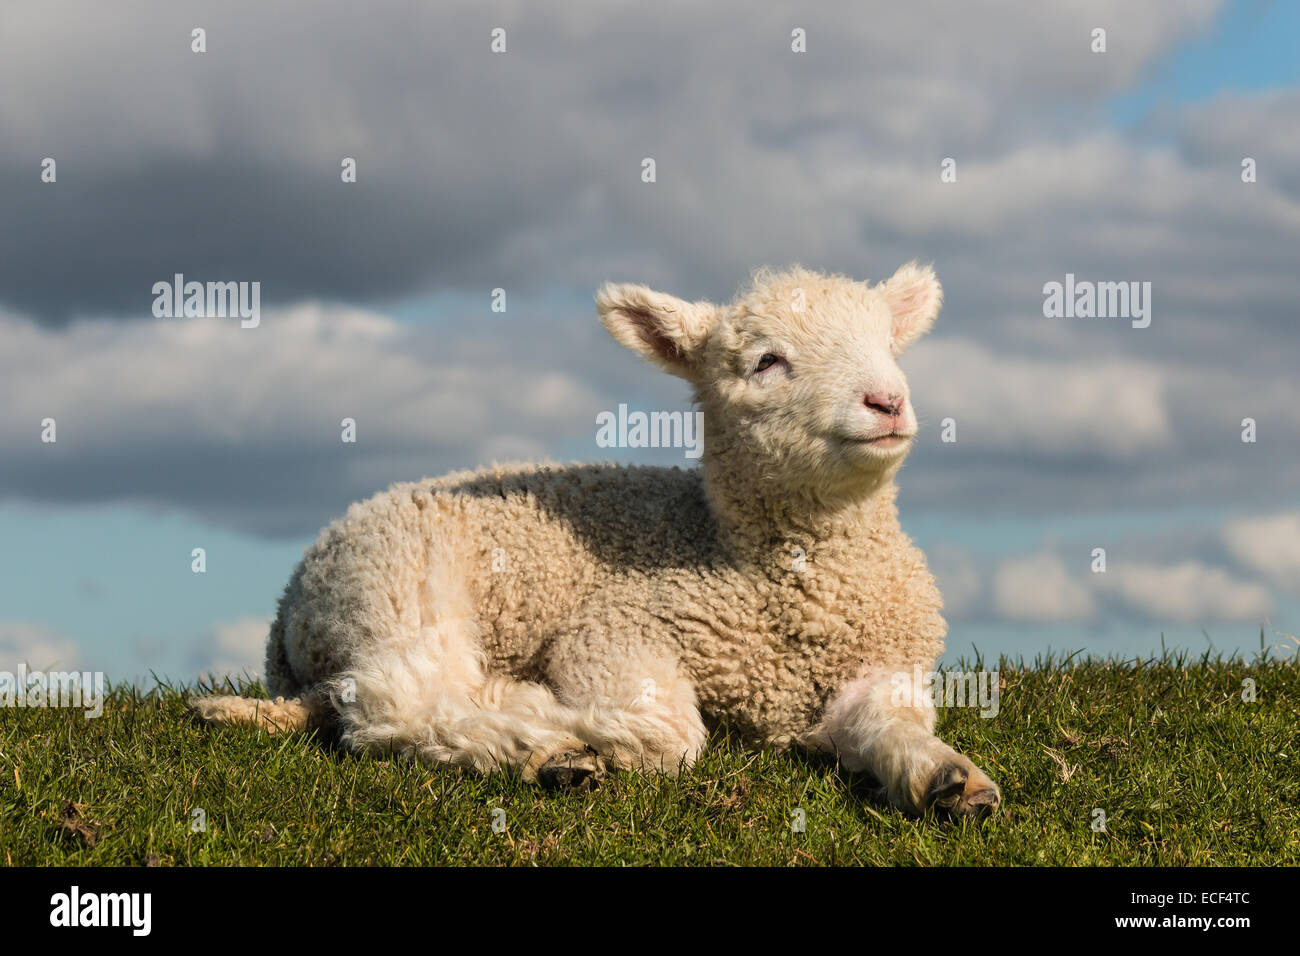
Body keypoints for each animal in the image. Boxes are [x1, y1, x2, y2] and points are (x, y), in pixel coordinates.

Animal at [189, 265, 1003, 816]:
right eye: (767, 361)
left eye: (888, 343)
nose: (887, 401)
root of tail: (288, 610)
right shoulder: (617, 628)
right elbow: (670, 733)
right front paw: (554, 715)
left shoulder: (883, 667)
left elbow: (893, 726)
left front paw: (951, 780)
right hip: (396, 587)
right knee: (400, 706)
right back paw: (545, 747)